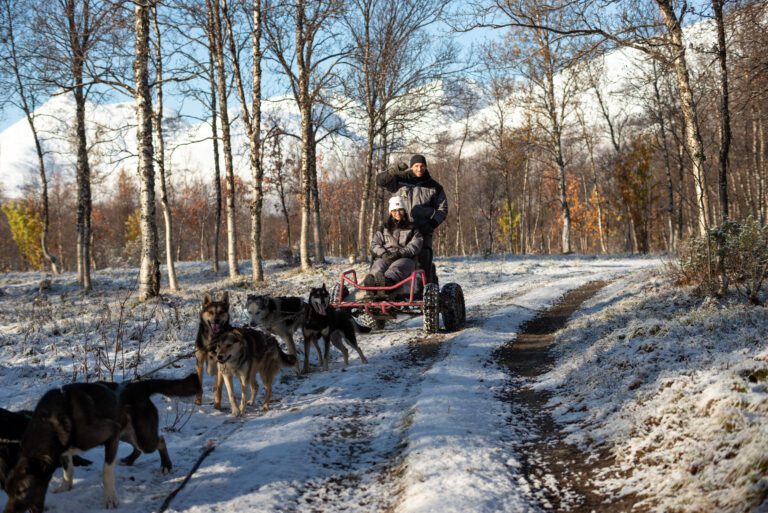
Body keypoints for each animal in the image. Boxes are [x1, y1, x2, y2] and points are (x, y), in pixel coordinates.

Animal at [3, 372, 200, 512]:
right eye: (7, 491)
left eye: (22, 491)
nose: (7, 512)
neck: (50, 422)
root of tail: (137, 386)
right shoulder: (65, 449)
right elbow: (68, 470)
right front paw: (65, 487)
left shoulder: (110, 433)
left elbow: (106, 472)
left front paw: (111, 499)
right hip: (126, 432)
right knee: (138, 447)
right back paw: (130, 460)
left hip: (142, 437)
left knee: (160, 440)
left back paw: (166, 465)